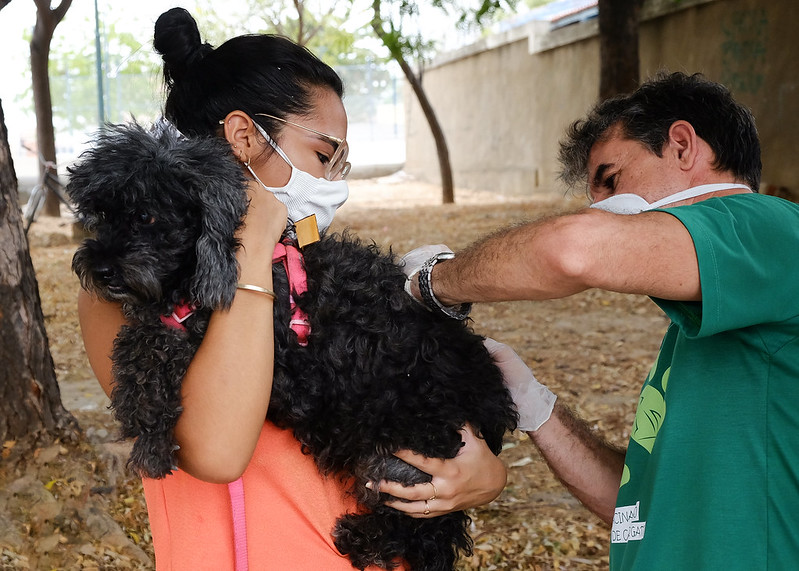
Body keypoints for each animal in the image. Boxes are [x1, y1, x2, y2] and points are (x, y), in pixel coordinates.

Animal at [69, 123, 520, 568]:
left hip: (401, 459)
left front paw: (149, 428)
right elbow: (145, 334)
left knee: (428, 528)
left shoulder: (291, 372)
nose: (100, 269)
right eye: (102, 216)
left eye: (146, 215)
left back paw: (363, 539)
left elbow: (156, 339)